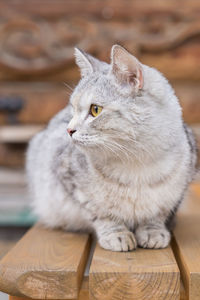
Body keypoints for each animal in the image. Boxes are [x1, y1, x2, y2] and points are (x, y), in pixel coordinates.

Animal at [26, 44, 197, 251]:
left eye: (95, 110)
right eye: (73, 109)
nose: (68, 130)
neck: (136, 163)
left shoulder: (175, 192)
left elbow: (157, 214)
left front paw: (153, 231)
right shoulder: (70, 179)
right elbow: (101, 213)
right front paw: (117, 234)